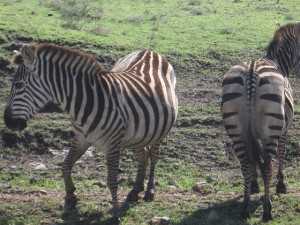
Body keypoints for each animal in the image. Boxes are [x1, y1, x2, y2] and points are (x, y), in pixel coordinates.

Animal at [3, 43, 178, 223]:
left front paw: (115, 215)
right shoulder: (81, 138)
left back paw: (149, 191)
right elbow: (65, 166)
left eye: (18, 85)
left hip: (158, 131)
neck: (84, 102)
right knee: (143, 155)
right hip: (139, 133)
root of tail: (149, 50)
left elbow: (112, 181)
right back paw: (135, 191)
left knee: (154, 157)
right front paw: (70, 198)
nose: (8, 122)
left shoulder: (112, 146)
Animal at [220, 22, 300, 221]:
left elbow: (253, 157)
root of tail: (251, 73)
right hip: (271, 129)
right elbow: (281, 153)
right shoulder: (284, 129)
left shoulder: (254, 132)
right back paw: (267, 210)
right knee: (268, 165)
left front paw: (254, 185)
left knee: (246, 163)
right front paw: (281, 184)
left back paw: (245, 207)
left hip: (236, 128)